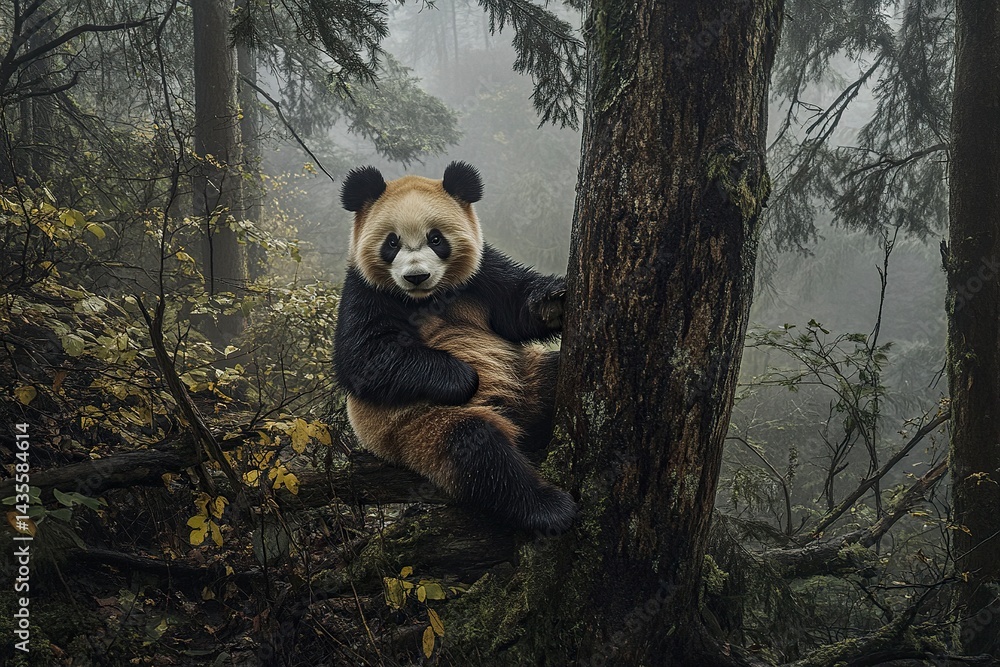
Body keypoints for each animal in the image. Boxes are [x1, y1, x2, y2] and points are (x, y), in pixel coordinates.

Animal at [333, 161, 576, 534]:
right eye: (392, 242)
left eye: (436, 239)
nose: (416, 276)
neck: (427, 297)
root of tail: (514, 413)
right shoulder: (365, 291)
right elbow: (363, 359)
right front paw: (464, 376)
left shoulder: (481, 275)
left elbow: (513, 309)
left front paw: (553, 301)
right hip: (417, 430)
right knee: (478, 451)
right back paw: (548, 508)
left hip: (527, 377)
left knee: (551, 377)